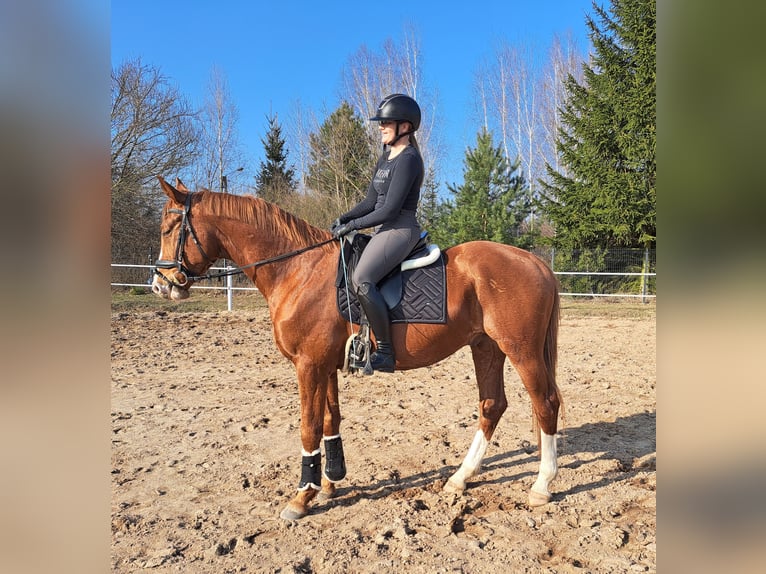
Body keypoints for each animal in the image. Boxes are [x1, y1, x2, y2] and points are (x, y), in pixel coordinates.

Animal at [150, 177, 564, 520]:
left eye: (170, 228)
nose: (160, 284)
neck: (298, 270)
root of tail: (533, 261)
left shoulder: (308, 365)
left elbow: (308, 427)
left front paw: (301, 497)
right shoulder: (325, 366)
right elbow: (330, 421)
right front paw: (330, 483)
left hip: (521, 350)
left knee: (545, 404)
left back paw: (541, 486)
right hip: (486, 347)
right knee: (492, 405)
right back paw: (460, 478)